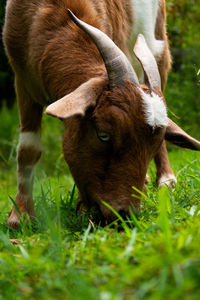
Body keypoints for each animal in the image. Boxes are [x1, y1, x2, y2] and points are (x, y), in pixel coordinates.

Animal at [2, 0, 200, 227]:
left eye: (155, 143)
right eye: (103, 135)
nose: (125, 214)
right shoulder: (22, 80)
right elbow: (29, 149)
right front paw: (20, 216)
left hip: (160, 45)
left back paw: (166, 180)